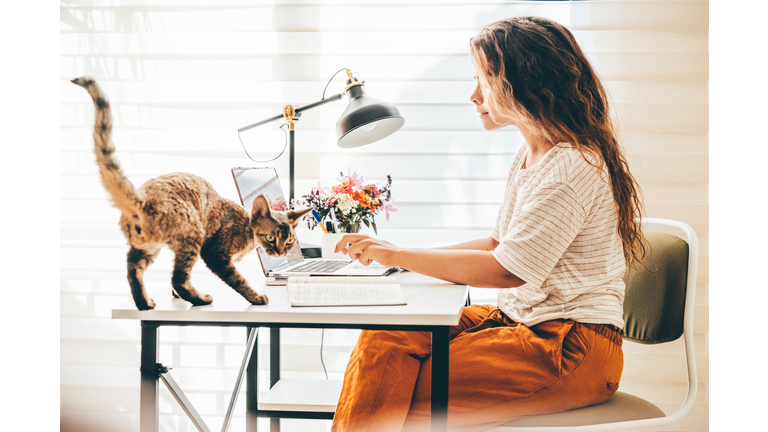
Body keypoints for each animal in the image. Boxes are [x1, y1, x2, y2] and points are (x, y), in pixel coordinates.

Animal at [71, 76, 308, 308]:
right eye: (271, 237)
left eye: (289, 242)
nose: (281, 252)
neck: (247, 234)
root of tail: (142, 198)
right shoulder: (214, 253)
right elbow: (238, 279)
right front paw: (256, 297)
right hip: (192, 235)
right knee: (178, 278)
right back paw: (200, 299)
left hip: (148, 247)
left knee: (133, 272)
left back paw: (145, 303)